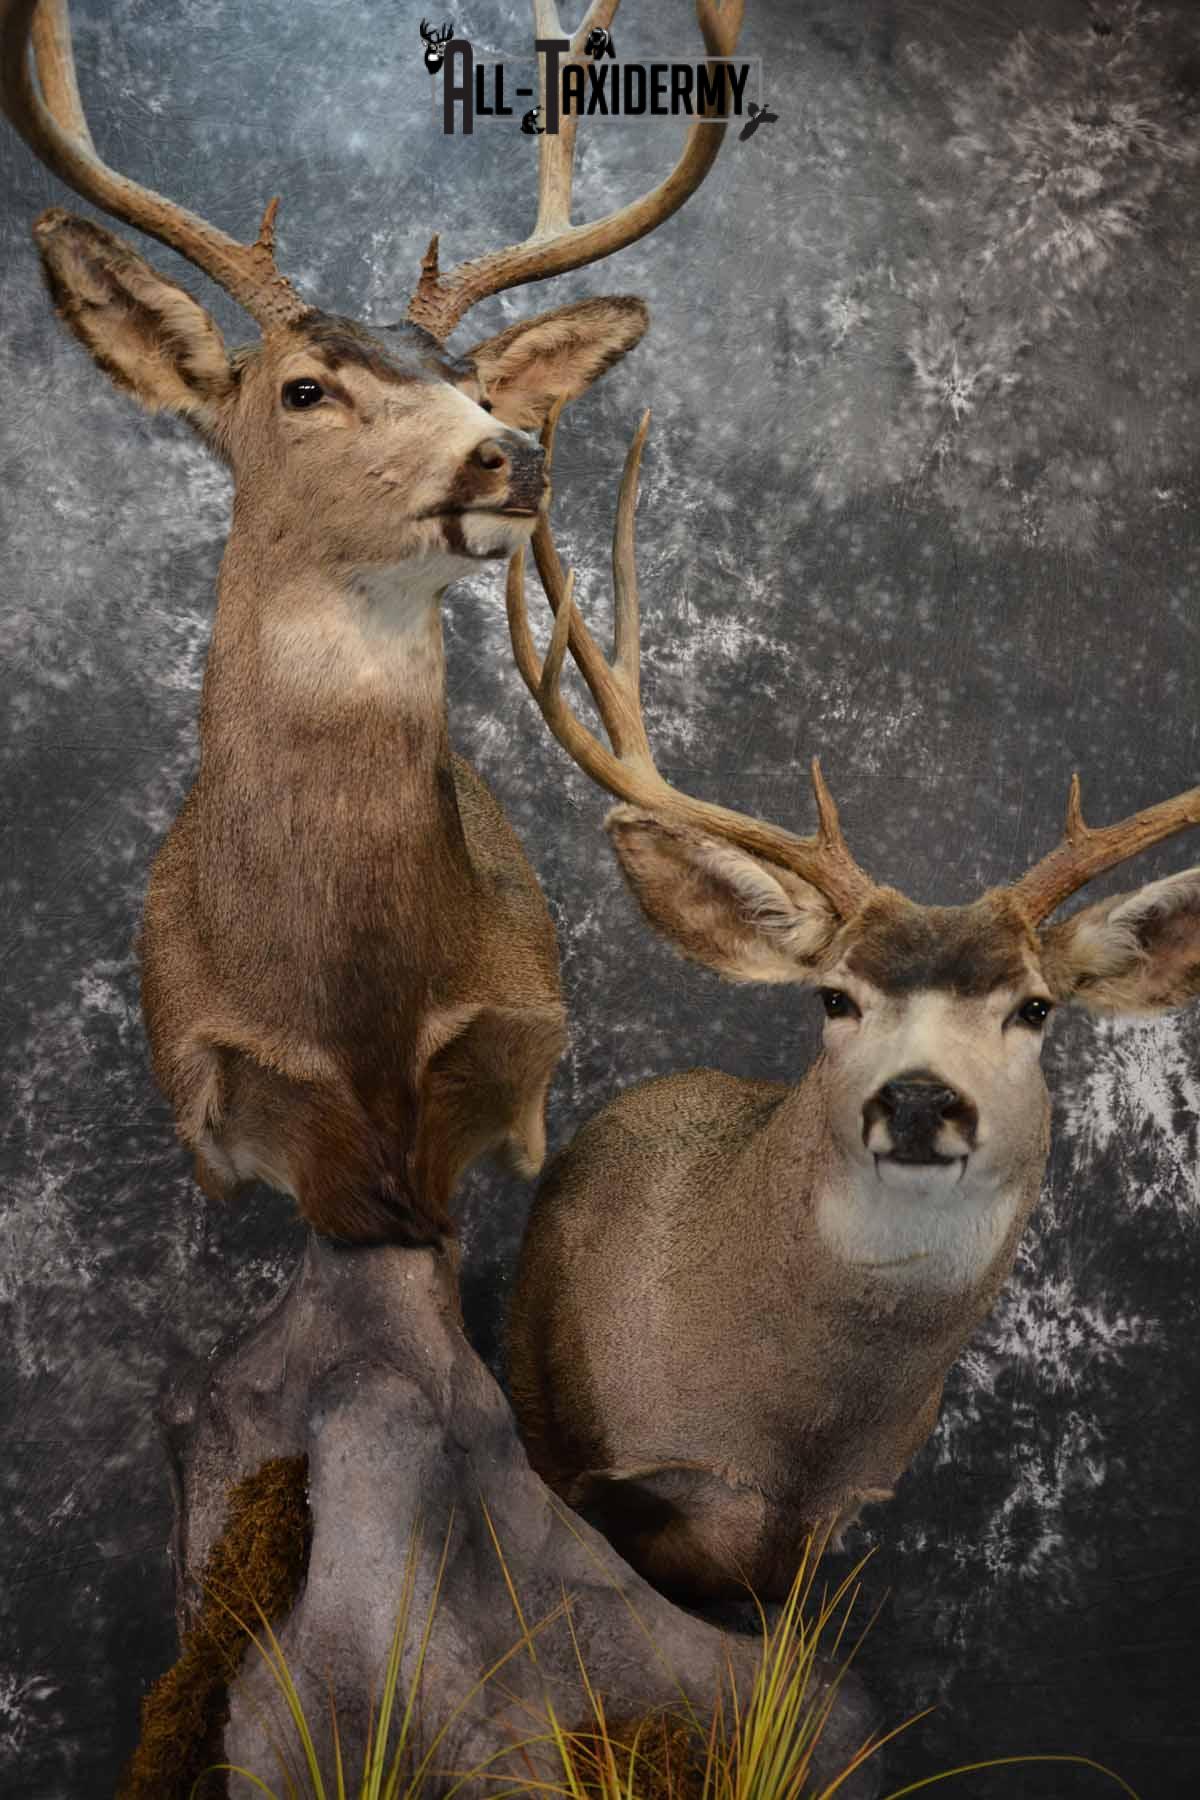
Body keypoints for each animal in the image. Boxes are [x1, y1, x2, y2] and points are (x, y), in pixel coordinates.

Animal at [503, 412, 1200, 1604]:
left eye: (1034, 1009)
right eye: (835, 997)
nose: (919, 1100)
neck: (790, 1446)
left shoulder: (832, 1532)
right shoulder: (601, 1476)